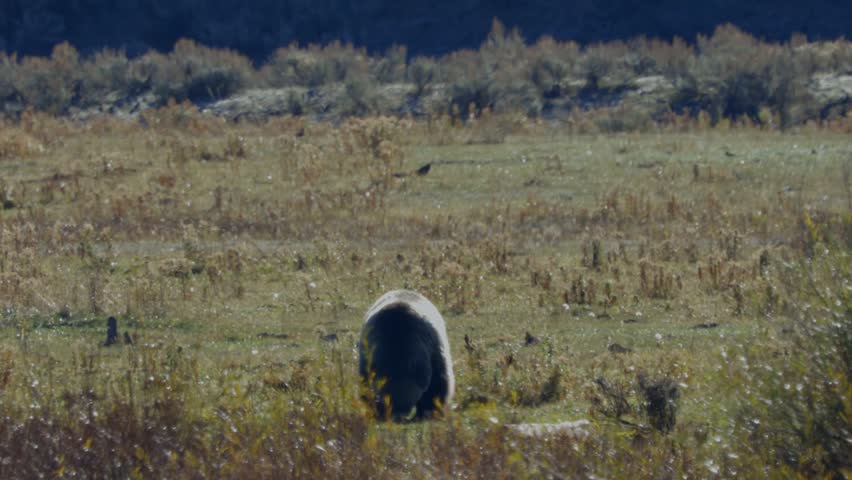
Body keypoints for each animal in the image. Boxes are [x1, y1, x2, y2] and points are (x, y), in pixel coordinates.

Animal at [359, 290, 454, 421]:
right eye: (389, 401)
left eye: (408, 403)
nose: (398, 416)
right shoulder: (369, 352)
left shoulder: (431, 347)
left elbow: (438, 382)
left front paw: (430, 410)